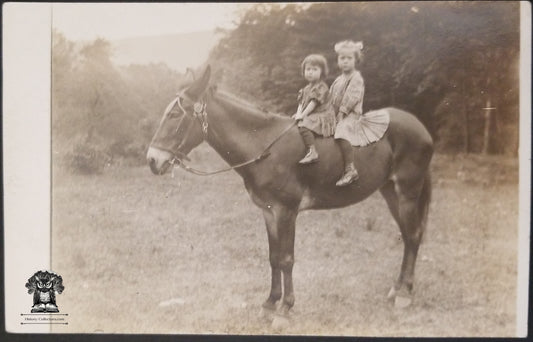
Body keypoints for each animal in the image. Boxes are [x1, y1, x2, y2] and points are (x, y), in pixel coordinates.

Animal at [147, 66, 432, 312]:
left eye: (174, 115)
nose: (152, 160)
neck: (265, 147)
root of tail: (421, 128)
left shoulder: (287, 212)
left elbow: (286, 258)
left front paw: (285, 307)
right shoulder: (269, 212)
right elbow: (274, 257)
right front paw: (271, 302)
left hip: (407, 193)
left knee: (413, 235)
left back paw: (405, 294)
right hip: (390, 192)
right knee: (407, 236)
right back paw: (397, 289)